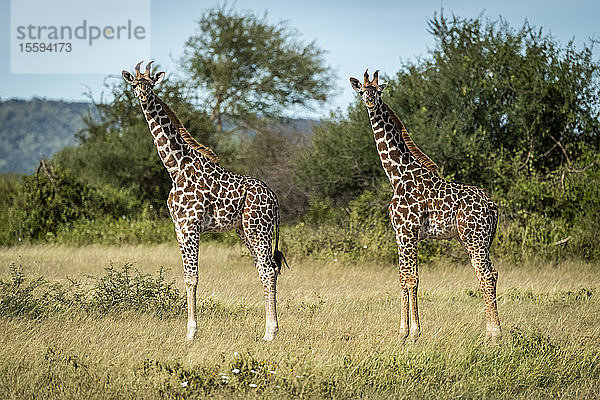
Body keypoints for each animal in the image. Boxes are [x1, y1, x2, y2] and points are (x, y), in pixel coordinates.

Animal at [121, 61, 286, 340]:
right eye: (134, 84)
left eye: (151, 85)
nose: (143, 97)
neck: (175, 168)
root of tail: (274, 198)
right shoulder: (178, 228)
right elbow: (186, 276)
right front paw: (189, 330)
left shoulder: (191, 226)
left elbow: (193, 277)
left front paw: (191, 332)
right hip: (245, 231)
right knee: (263, 270)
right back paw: (268, 330)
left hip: (259, 230)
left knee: (269, 270)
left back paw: (271, 333)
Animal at [350, 70, 500, 342]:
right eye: (362, 91)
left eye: (378, 92)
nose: (370, 102)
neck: (397, 175)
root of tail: (493, 206)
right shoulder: (399, 234)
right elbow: (402, 277)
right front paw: (401, 331)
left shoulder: (409, 231)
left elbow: (412, 278)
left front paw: (414, 332)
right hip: (475, 239)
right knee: (488, 274)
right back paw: (489, 332)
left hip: (474, 237)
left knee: (486, 275)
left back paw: (494, 334)